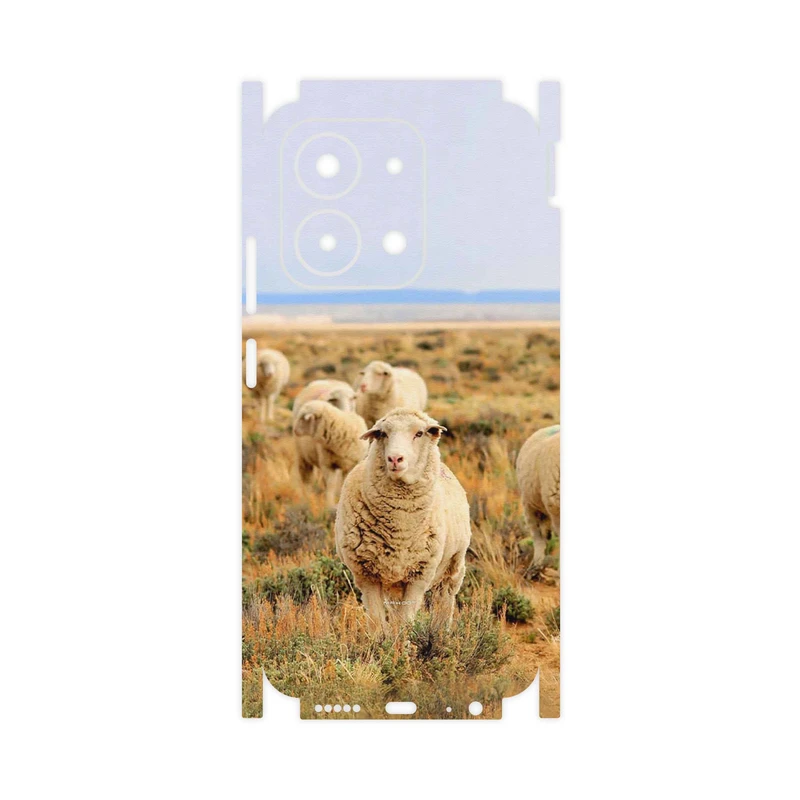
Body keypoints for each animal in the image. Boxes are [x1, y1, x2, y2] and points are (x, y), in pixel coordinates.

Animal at [335, 408, 471, 634]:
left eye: (419, 433)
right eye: (383, 434)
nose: (395, 458)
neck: (400, 527)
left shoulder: (419, 575)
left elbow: (405, 622)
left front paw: (403, 642)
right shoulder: (366, 575)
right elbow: (377, 622)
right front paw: (382, 642)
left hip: (453, 566)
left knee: (444, 600)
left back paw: (440, 633)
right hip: (393, 582)